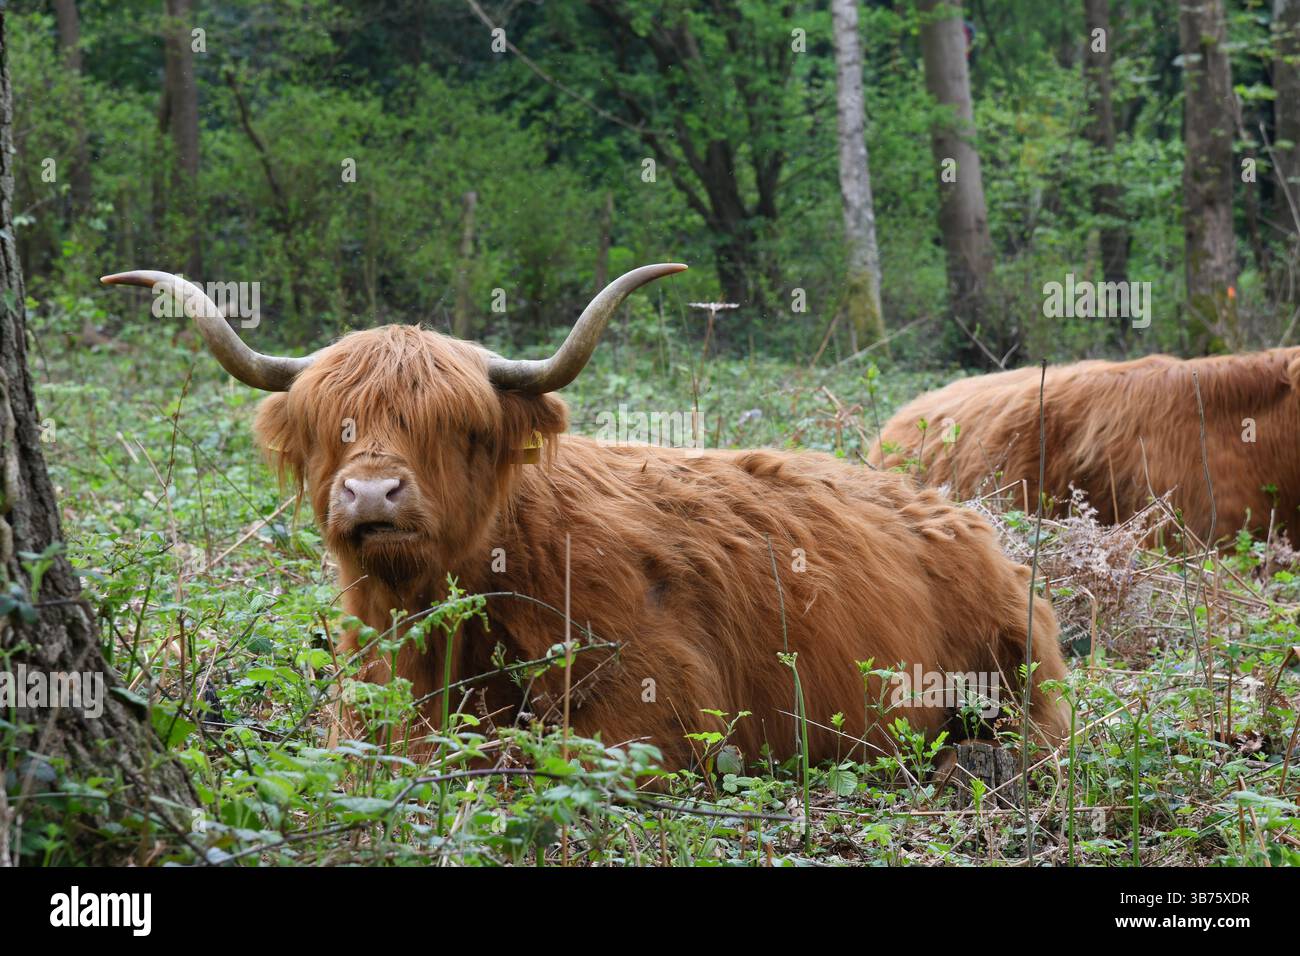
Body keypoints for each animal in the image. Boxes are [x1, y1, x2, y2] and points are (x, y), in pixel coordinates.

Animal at [103, 266, 1068, 771]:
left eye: (458, 428)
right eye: (328, 426)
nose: (372, 495)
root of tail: (960, 516)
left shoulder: (660, 714)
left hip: (1021, 681)